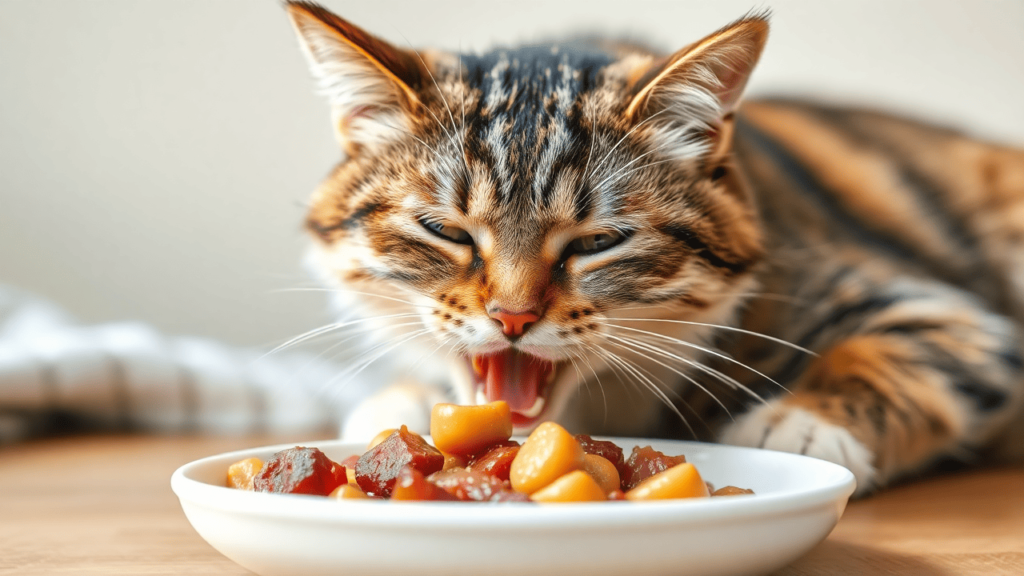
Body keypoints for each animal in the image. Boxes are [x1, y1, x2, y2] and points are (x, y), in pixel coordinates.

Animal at [282, 1, 1024, 494]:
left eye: (598, 242)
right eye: (448, 232)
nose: (513, 319)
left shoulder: (942, 312)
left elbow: (904, 348)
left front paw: (802, 423)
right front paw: (399, 398)